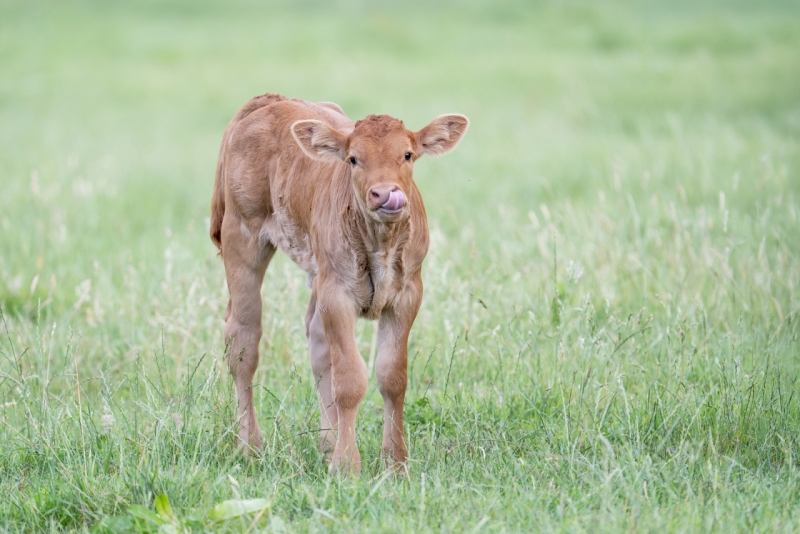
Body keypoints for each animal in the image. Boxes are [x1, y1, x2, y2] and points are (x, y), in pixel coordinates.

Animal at [210, 93, 468, 474]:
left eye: (407, 154)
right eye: (353, 159)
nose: (384, 193)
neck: (380, 243)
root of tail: (270, 100)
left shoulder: (407, 295)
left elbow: (392, 377)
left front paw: (395, 463)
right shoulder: (338, 293)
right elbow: (350, 378)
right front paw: (348, 466)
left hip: (316, 273)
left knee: (317, 342)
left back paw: (327, 444)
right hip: (241, 239)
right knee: (243, 341)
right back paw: (250, 447)